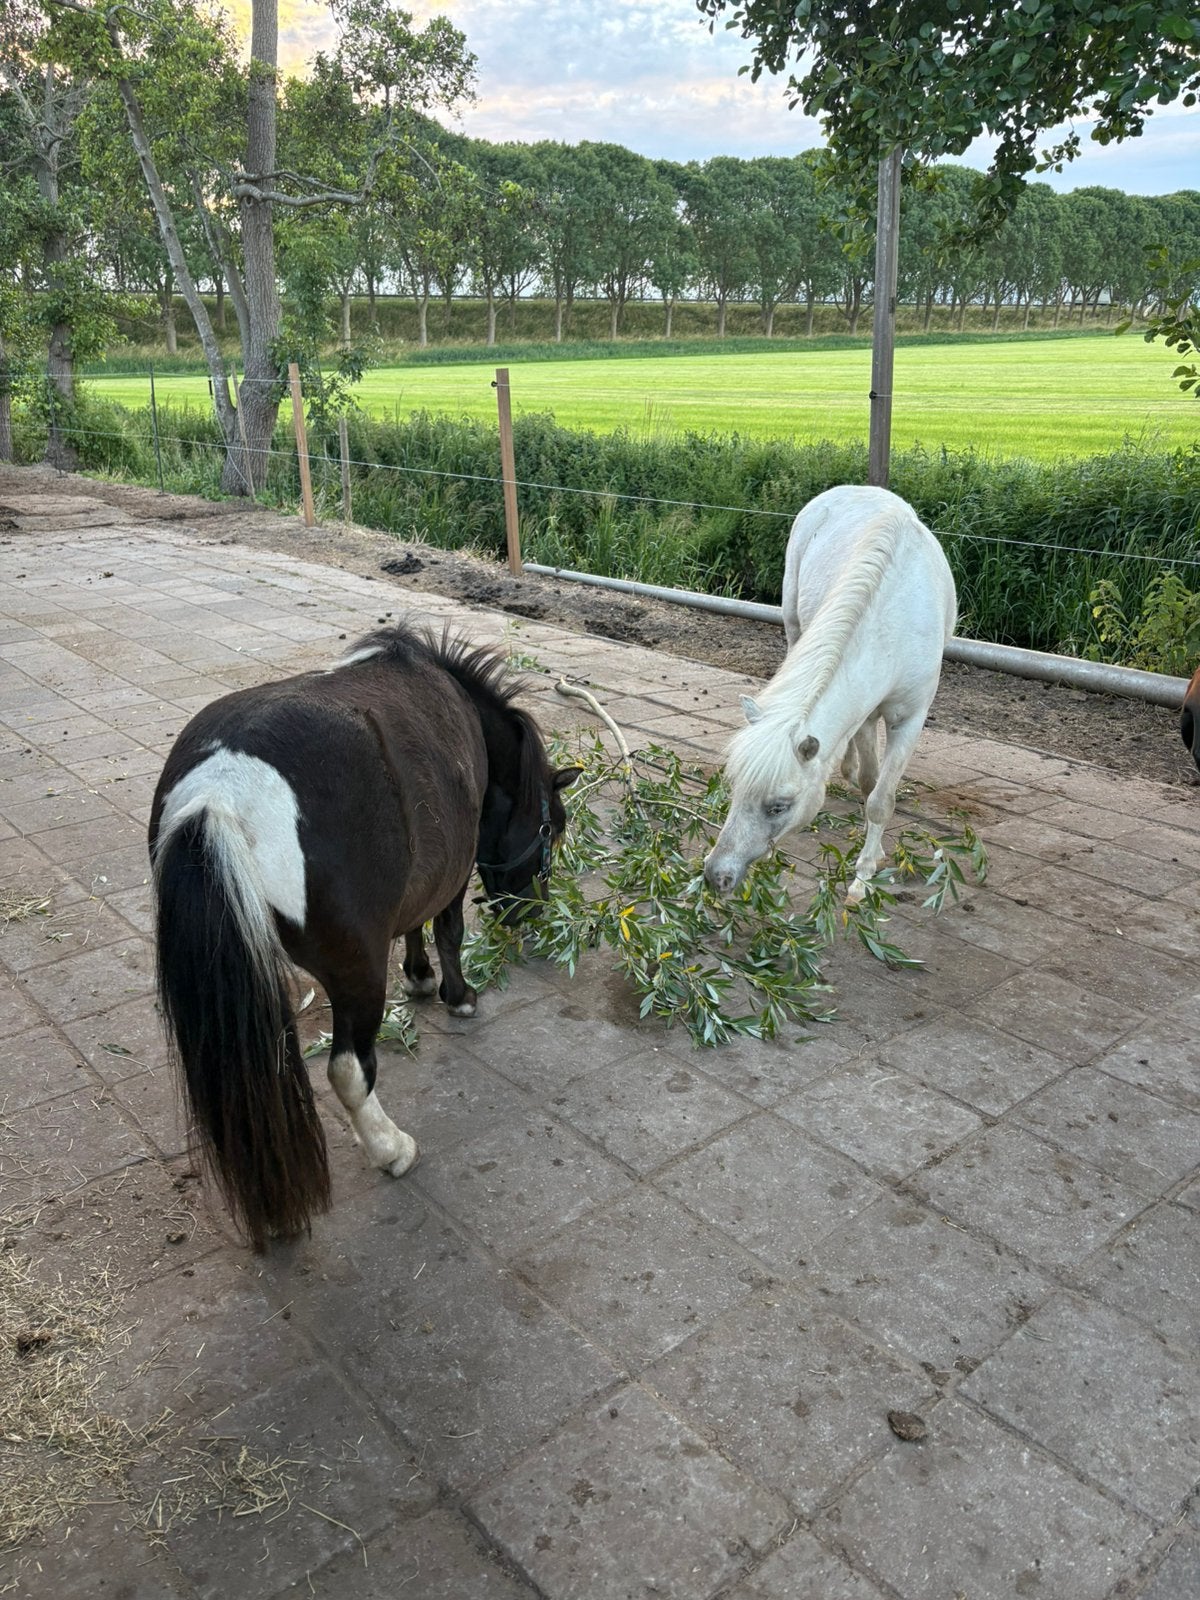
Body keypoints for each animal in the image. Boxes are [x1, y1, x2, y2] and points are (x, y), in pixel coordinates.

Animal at [149, 621, 579, 1250]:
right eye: (552, 825)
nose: (529, 912)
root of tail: (219, 795)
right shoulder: (453, 868)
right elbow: (446, 929)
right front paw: (456, 994)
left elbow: (415, 923)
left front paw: (419, 977)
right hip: (355, 972)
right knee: (349, 1070)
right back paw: (390, 1148)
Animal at [705, 485, 956, 904]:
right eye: (735, 786)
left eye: (779, 806)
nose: (716, 876)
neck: (895, 615)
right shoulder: (866, 710)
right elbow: (871, 782)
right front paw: (869, 856)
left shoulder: (910, 718)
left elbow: (880, 800)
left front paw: (864, 877)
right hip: (794, 622)